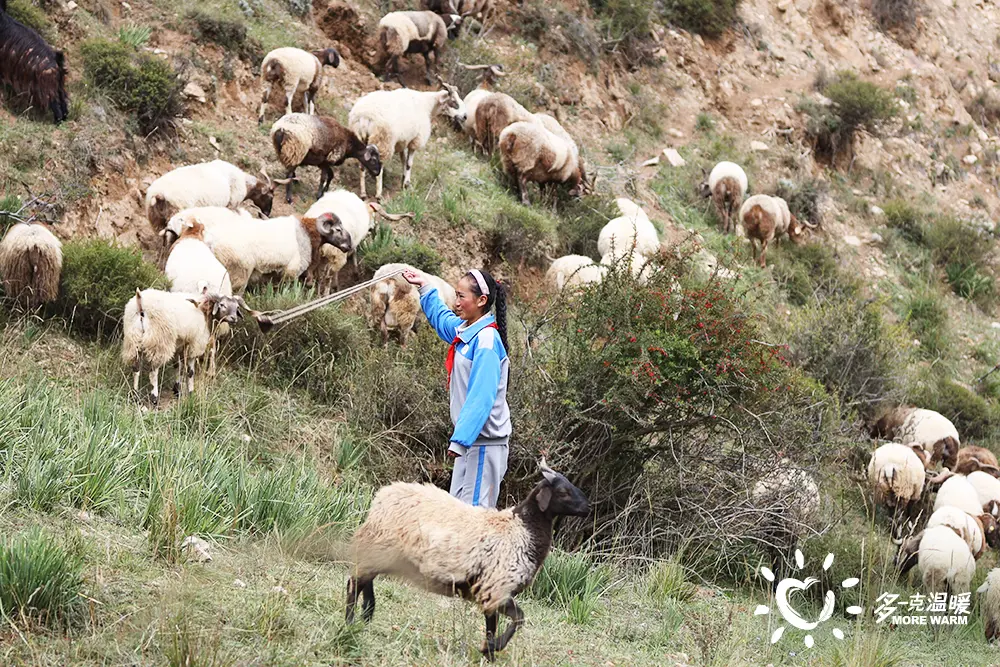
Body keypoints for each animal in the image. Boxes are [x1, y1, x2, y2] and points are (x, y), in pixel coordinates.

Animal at [348, 462, 588, 660]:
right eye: (563, 491)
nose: (588, 507)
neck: (521, 529)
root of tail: (382, 496)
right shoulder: (496, 587)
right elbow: (516, 619)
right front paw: (491, 649)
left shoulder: (491, 591)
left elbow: (495, 625)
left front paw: (489, 654)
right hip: (381, 544)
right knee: (355, 582)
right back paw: (350, 622)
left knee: (365, 579)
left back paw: (367, 612)